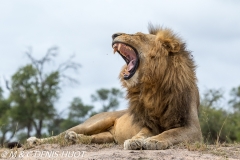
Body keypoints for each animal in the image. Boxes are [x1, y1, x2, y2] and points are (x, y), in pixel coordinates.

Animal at [26, 24, 202, 149]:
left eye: (138, 35)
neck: (152, 86)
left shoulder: (192, 127)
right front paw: (136, 141)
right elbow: (143, 133)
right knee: (60, 135)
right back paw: (36, 141)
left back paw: (74, 138)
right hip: (94, 123)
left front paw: (153, 141)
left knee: (89, 139)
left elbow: (171, 133)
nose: (114, 35)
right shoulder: (149, 124)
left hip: (106, 137)